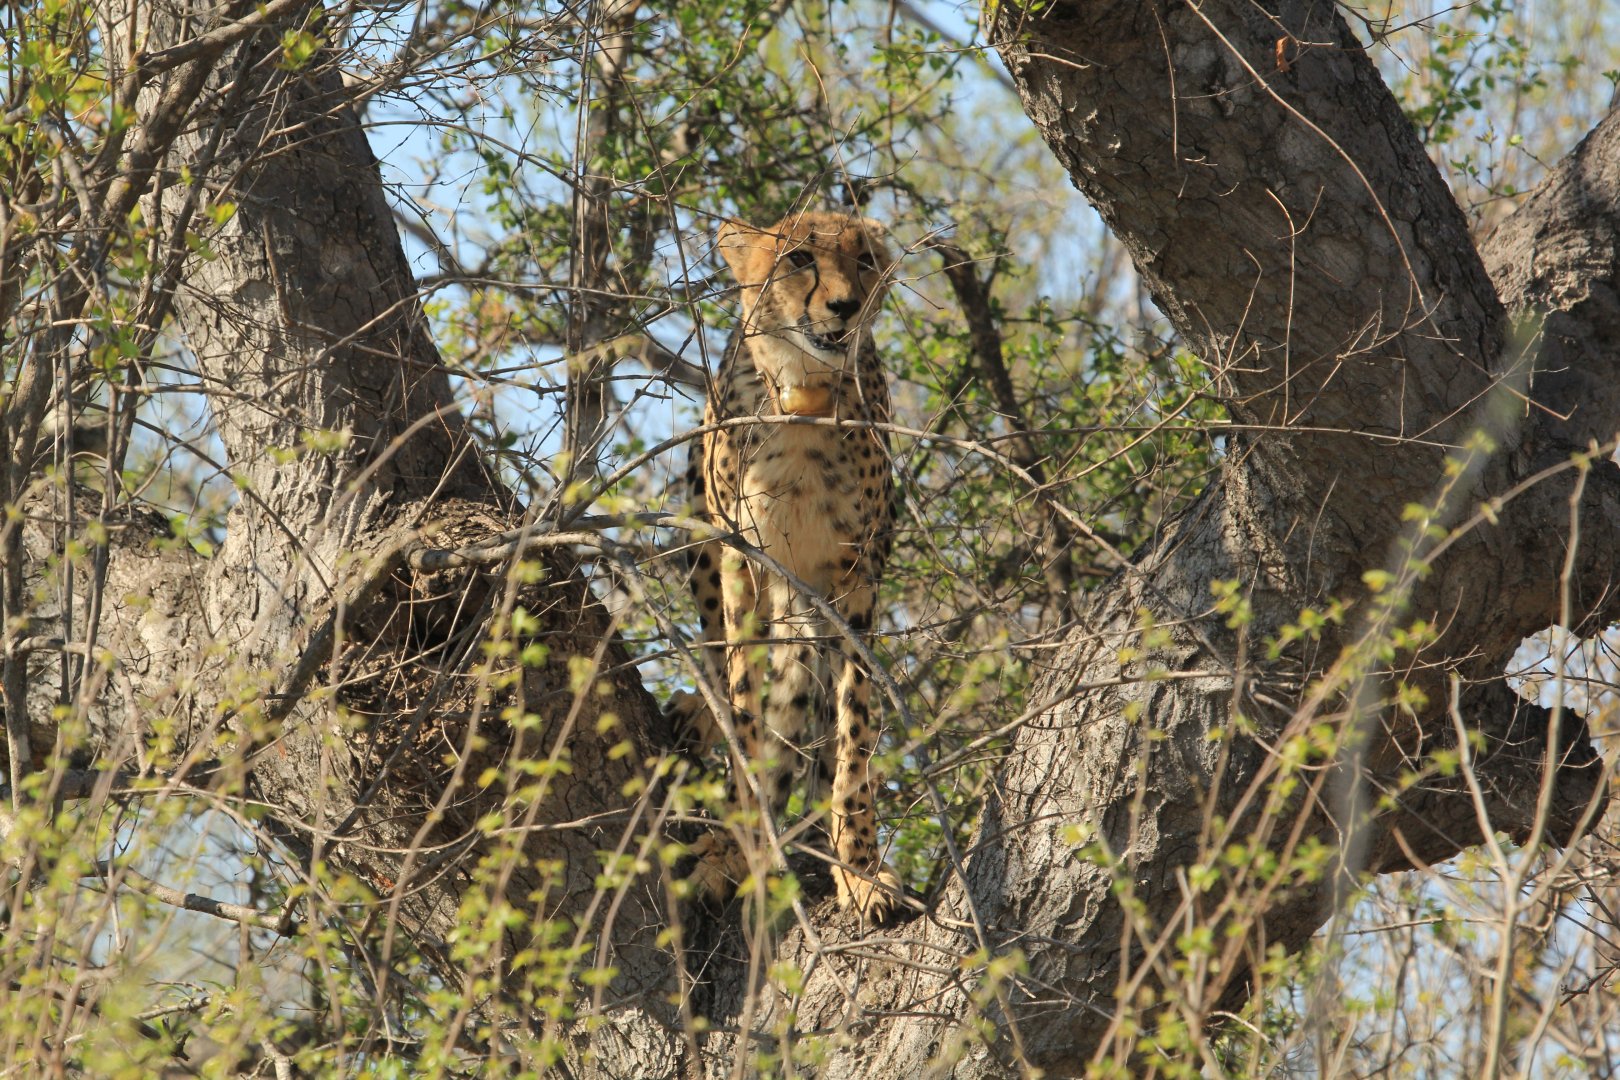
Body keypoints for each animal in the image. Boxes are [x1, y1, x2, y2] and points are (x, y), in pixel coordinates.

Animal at [669, 210, 903, 922]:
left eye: (865, 259)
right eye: (799, 258)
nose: (845, 306)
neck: (803, 394)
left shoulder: (856, 577)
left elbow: (854, 730)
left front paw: (860, 869)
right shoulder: (739, 562)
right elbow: (743, 704)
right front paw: (733, 848)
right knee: (722, 664)